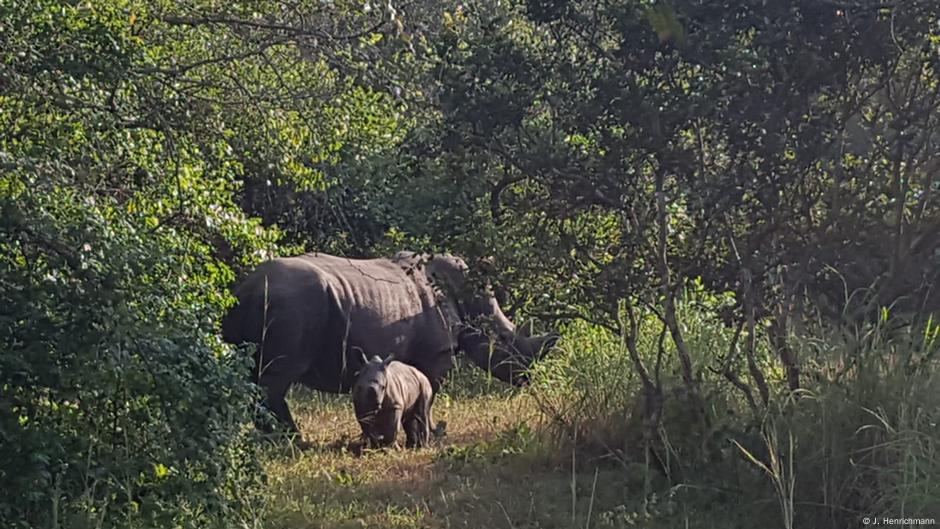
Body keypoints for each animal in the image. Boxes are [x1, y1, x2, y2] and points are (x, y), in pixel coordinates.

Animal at [220, 251, 560, 434]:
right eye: (504, 340)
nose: (529, 379)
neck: (467, 295)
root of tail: (244, 289)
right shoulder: (435, 353)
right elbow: (431, 391)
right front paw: (434, 432)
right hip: (291, 306)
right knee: (275, 380)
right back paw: (293, 441)